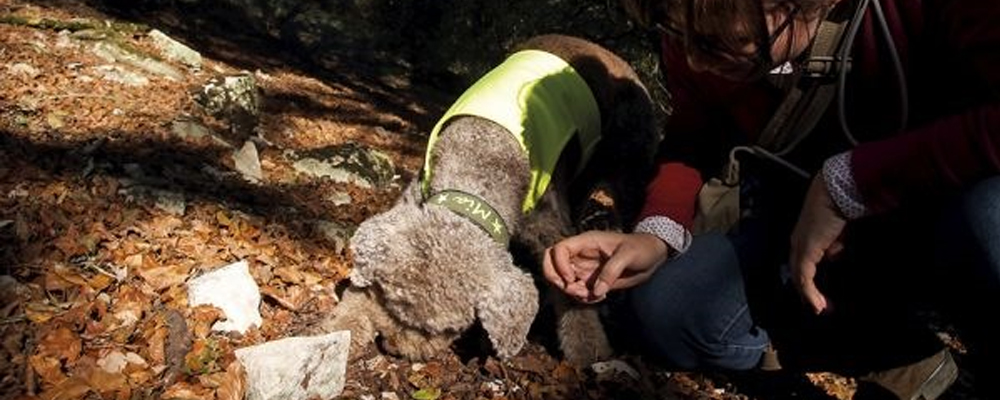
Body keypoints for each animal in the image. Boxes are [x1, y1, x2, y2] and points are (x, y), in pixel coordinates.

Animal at [320, 34, 660, 364]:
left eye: (448, 328)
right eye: (392, 301)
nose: (394, 348)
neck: (484, 156)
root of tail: (621, 63)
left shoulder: (546, 223)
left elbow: (570, 288)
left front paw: (589, 349)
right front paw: (340, 328)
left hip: (629, 169)